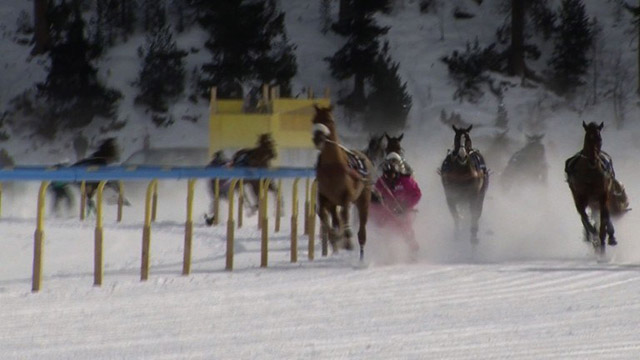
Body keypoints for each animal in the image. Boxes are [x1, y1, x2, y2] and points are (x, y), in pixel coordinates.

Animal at [312, 104, 376, 258]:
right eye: (314, 120)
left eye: (329, 120)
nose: (317, 139)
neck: (333, 167)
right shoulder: (325, 197)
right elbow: (324, 215)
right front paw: (335, 238)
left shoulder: (347, 195)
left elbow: (345, 212)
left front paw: (346, 240)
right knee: (336, 217)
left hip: (364, 197)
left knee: (361, 228)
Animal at [564, 121, 628, 253]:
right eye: (588, 138)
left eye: (600, 139)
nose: (593, 160)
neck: (589, 173)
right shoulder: (579, 194)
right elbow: (584, 215)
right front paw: (592, 232)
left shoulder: (602, 194)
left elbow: (604, 216)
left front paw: (604, 236)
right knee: (583, 214)